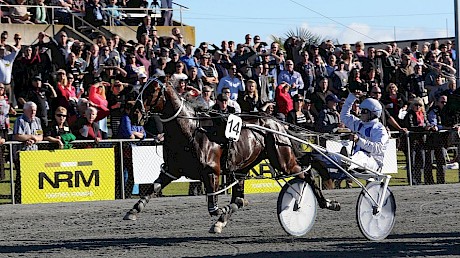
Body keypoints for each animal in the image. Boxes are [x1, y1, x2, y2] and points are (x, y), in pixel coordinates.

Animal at [124, 78, 340, 234]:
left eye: (151, 91)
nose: (134, 113)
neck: (191, 129)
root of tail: (276, 122)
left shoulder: (212, 172)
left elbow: (213, 207)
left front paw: (221, 212)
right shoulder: (171, 170)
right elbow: (153, 187)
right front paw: (133, 210)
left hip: (283, 160)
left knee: (306, 173)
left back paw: (328, 203)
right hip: (244, 168)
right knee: (240, 199)